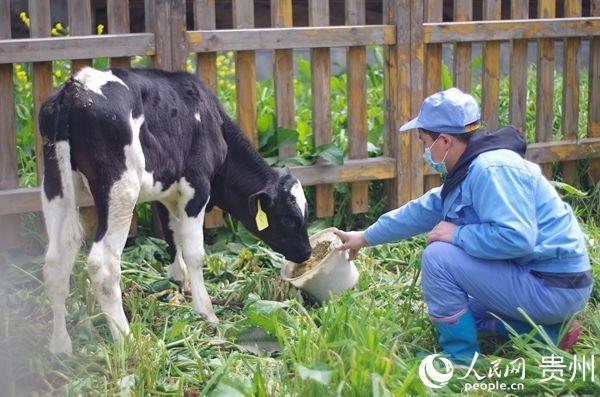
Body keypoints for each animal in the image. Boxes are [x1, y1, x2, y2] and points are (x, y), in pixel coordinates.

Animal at [39, 66, 312, 352]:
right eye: (289, 219)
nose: (307, 252)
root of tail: (77, 86)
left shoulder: (167, 191)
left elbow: (172, 235)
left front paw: (180, 280)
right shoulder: (197, 187)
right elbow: (195, 253)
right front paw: (206, 311)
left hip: (55, 183)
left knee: (56, 260)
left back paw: (60, 344)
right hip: (121, 189)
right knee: (103, 266)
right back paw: (127, 341)